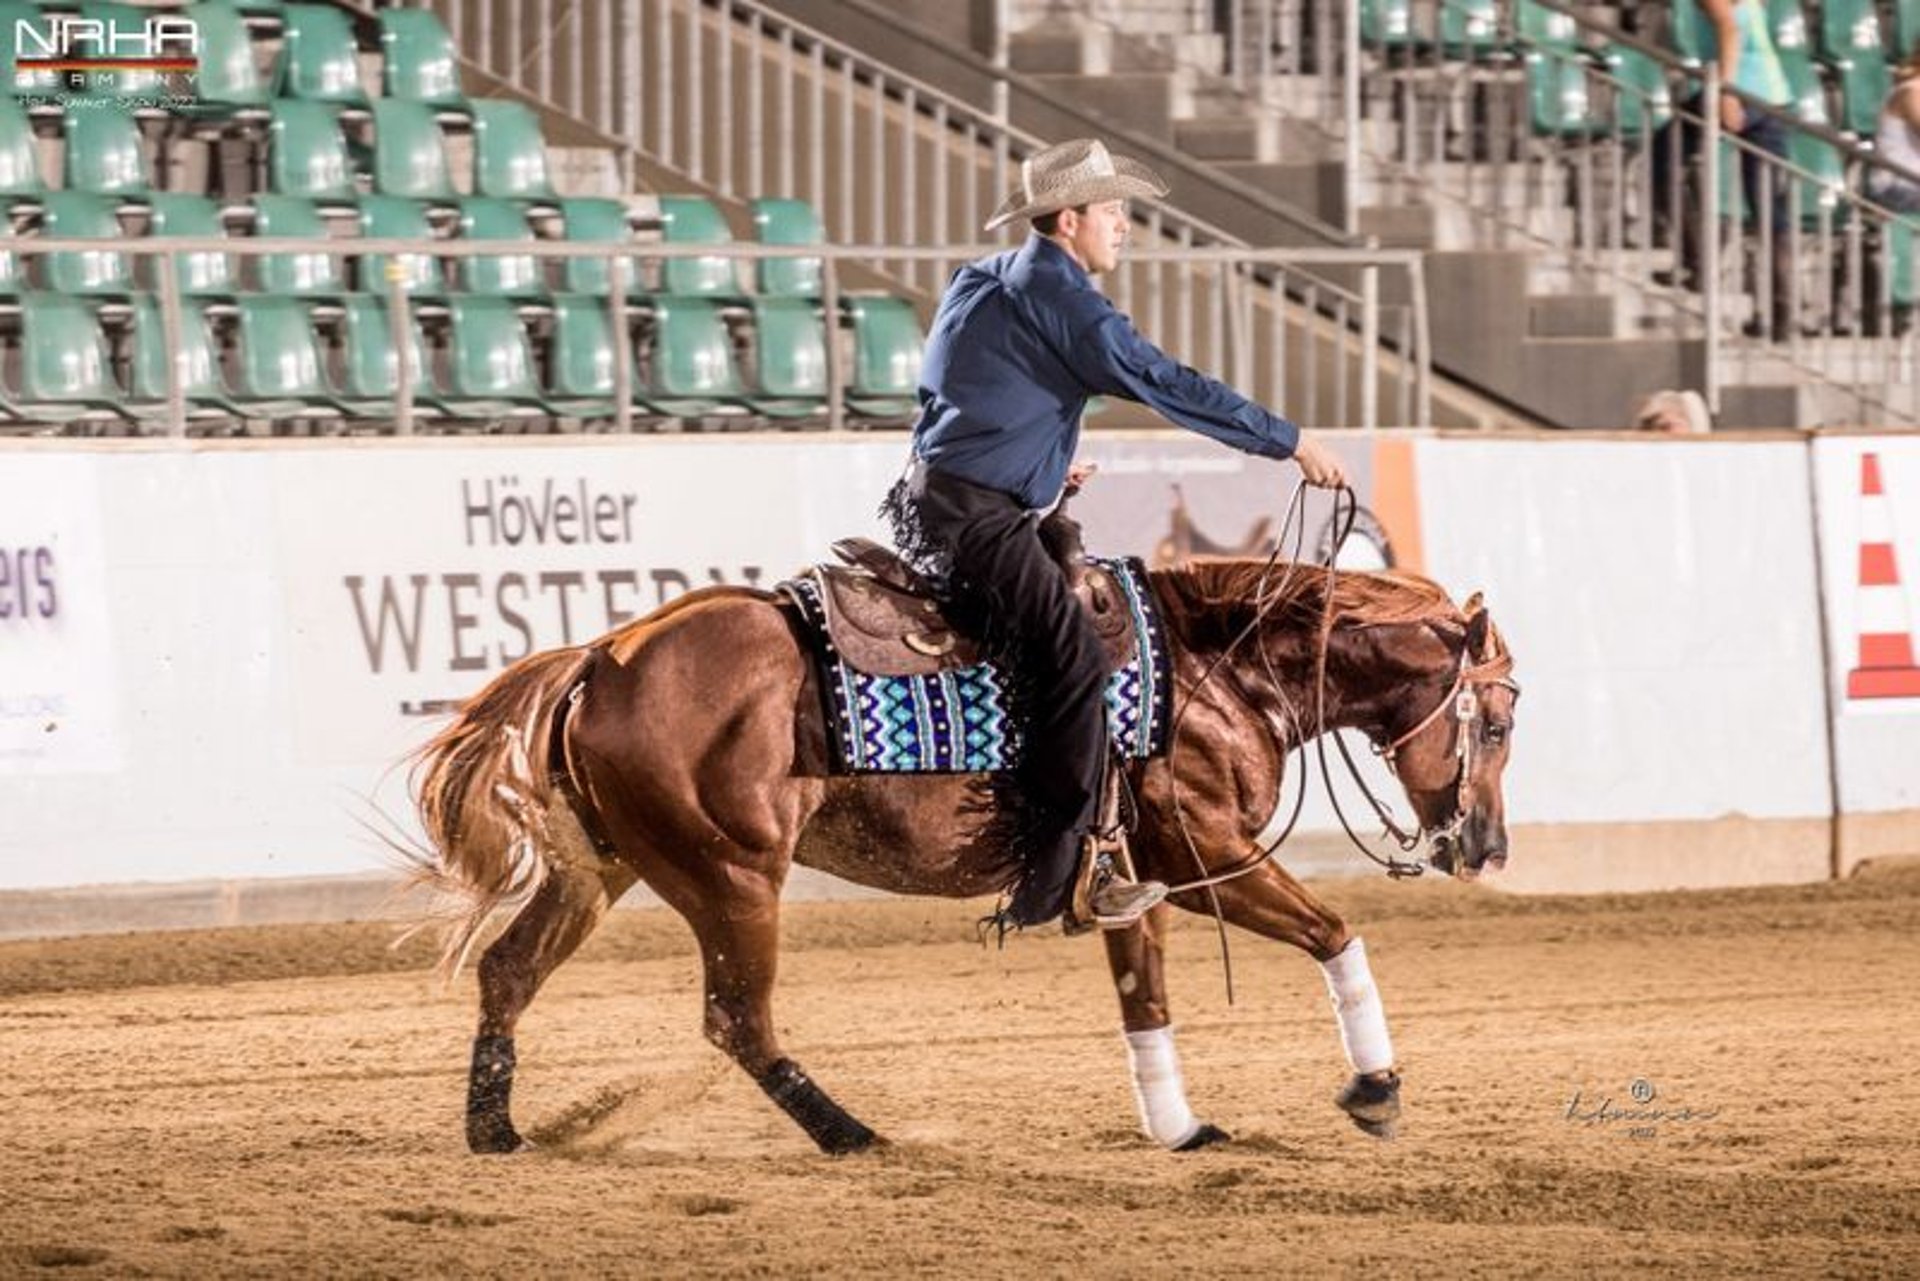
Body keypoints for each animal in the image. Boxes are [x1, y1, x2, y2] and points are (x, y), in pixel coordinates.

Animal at [405, 556, 1512, 1160]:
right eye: (1498, 721)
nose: (1487, 847)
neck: (1214, 669)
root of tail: (604, 656)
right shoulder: (1213, 861)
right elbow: (1335, 933)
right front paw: (1376, 1090)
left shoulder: (1137, 881)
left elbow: (1145, 1003)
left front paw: (1178, 1127)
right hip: (734, 878)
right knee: (737, 1020)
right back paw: (851, 1134)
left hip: (602, 868)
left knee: (509, 970)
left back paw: (494, 1129)